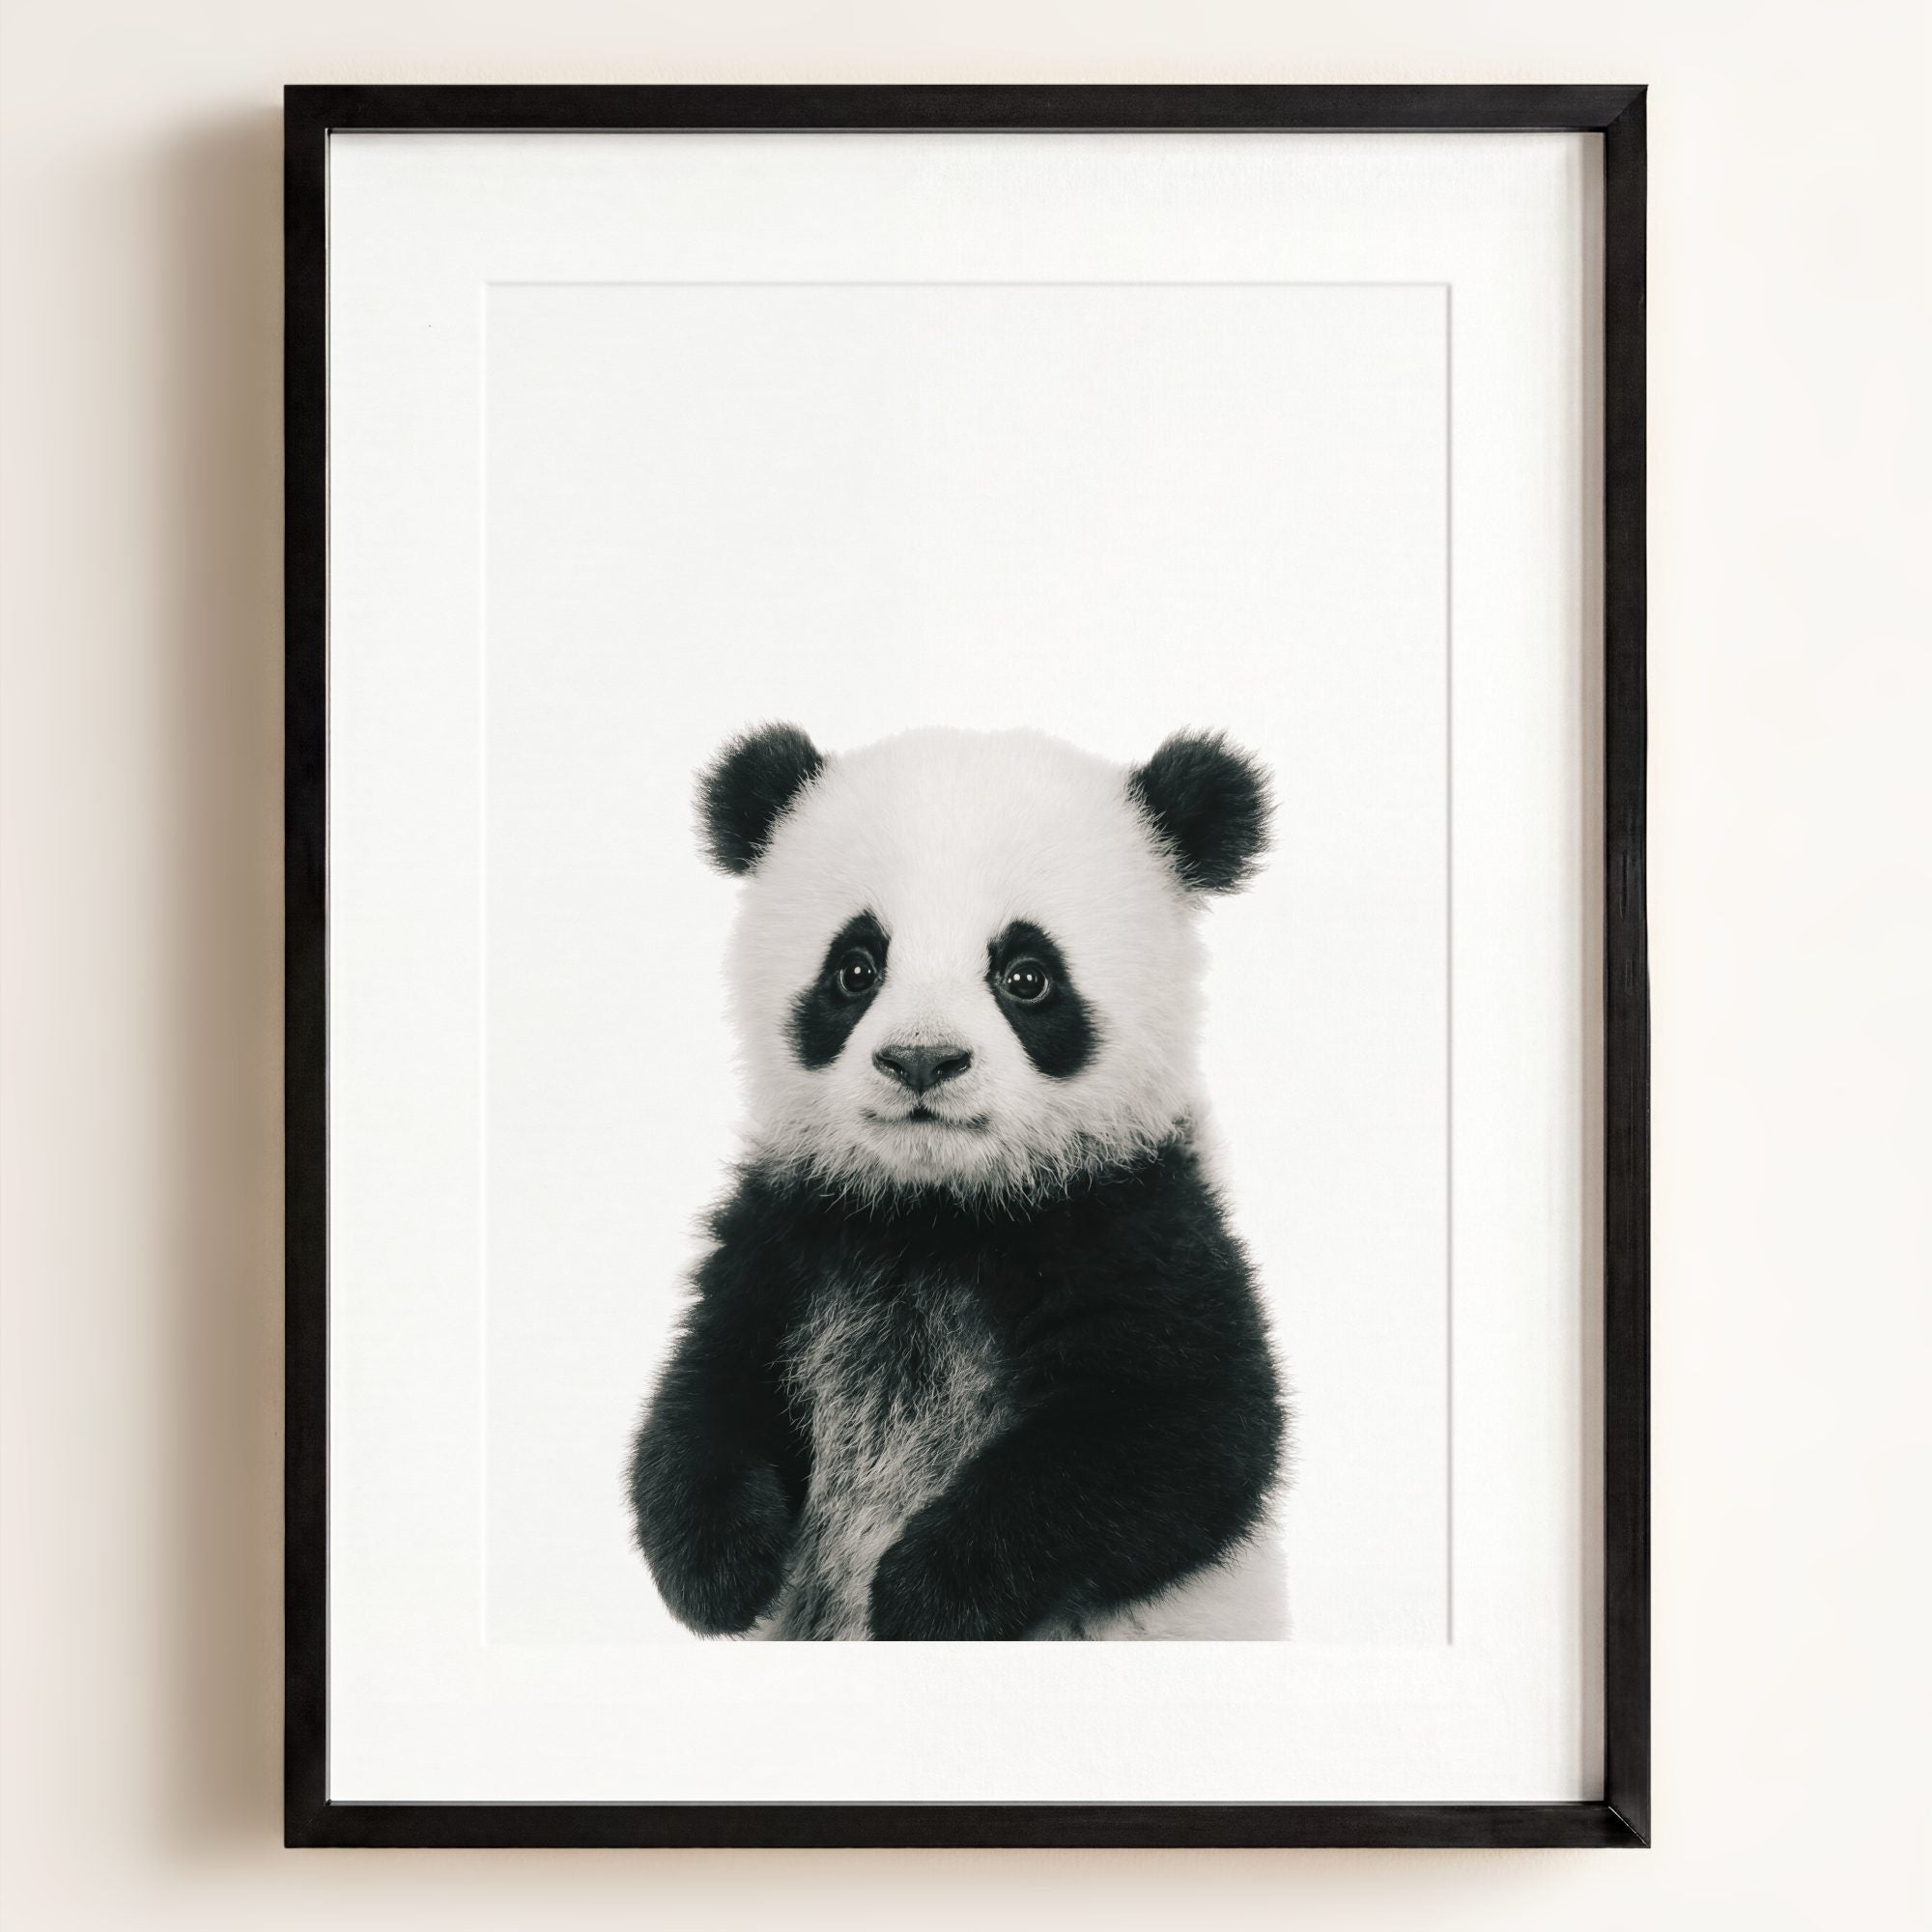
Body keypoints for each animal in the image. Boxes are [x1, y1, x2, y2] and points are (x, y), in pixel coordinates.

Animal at [627, 723, 1288, 1640]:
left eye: (1026, 975)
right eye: (856, 968)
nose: (921, 1060)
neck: (938, 1211)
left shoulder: (1135, 1221)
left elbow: (1185, 1433)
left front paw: (926, 1594)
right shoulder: (792, 1228)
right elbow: (709, 1386)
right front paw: (719, 1568)